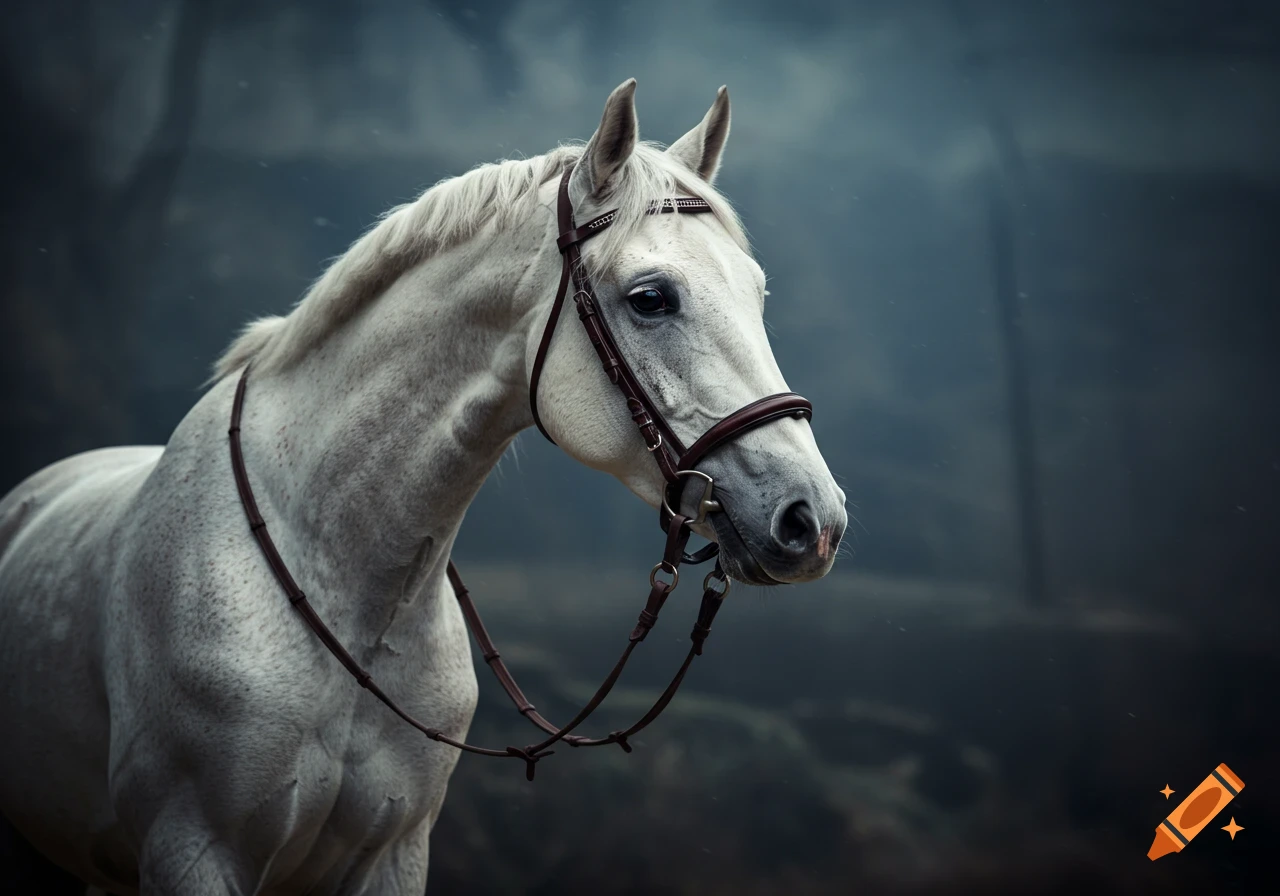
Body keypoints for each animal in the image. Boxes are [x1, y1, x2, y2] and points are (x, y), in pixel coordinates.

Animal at [0, 79, 847, 895]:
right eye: (651, 298)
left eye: (757, 293)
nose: (814, 520)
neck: (346, 587)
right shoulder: (196, 849)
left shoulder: (393, 854)